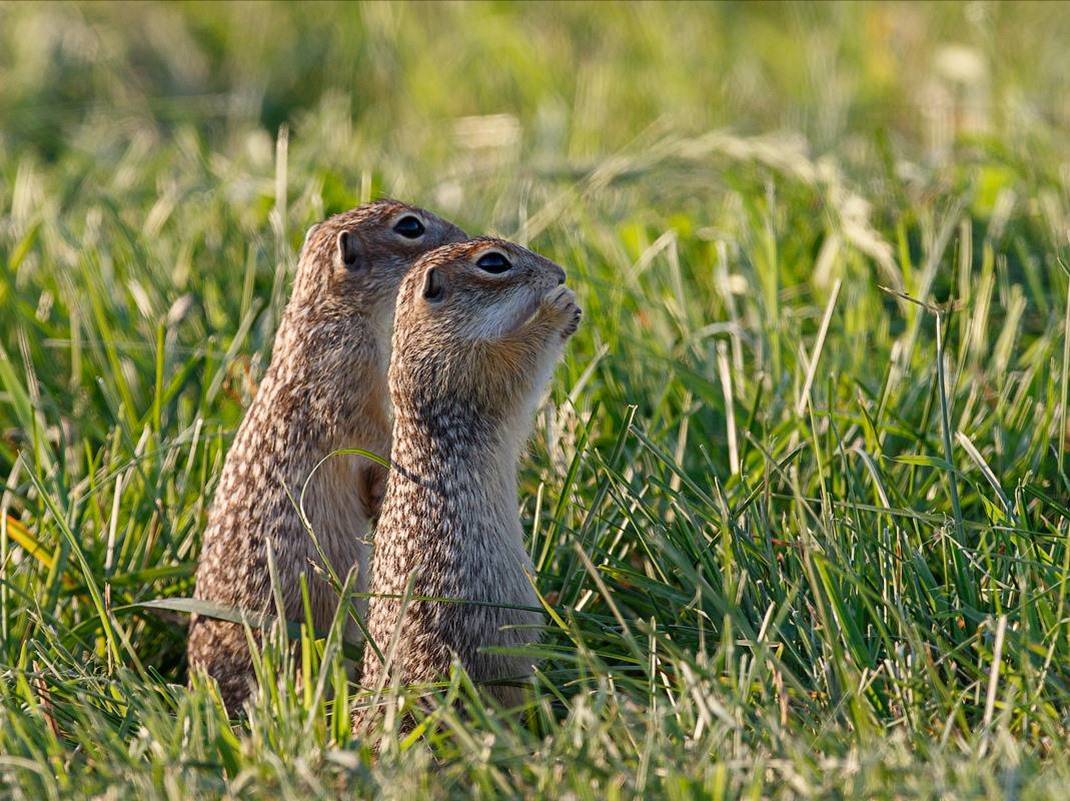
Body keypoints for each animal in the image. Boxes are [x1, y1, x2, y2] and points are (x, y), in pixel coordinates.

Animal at [355, 234, 582, 714]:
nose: (560, 274)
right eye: (494, 263)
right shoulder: (468, 367)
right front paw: (558, 308)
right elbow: (517, 360)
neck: (426, 340)